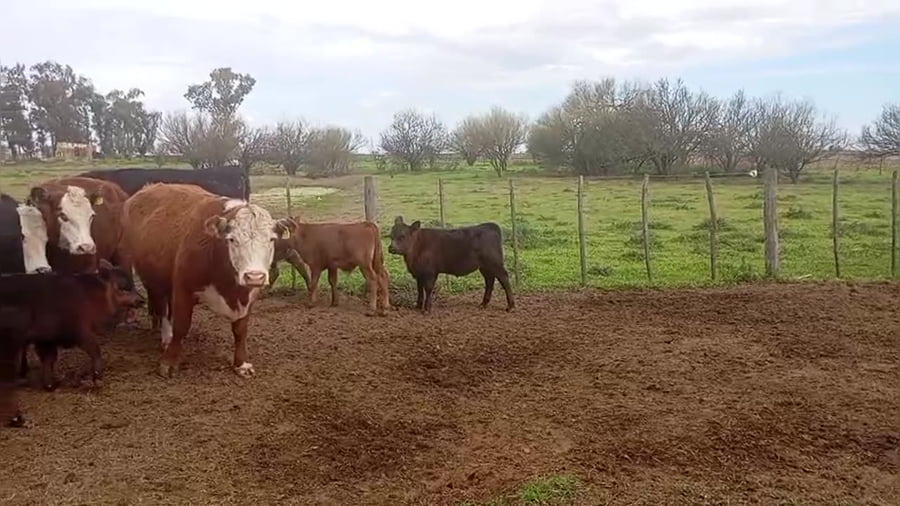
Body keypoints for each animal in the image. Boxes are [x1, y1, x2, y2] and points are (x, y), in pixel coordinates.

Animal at [0, 260, 145, 396]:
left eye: (132, 285)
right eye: (123, 287)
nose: (142, 300)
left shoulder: (47, 340)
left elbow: (48, 359)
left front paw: (49, 384)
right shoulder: (78, 331)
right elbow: (95, 350)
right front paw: (97, 378)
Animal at [121, 183, 278, 378]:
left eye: (271, 239)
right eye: (232, 239)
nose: (255, 276)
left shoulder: (248, 296)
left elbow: (240, 330)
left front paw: (241, 364)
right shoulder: (184, 287)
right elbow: (181, 325)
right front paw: (168, 362)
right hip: (153, 279)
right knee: (162, 307)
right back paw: (166, 337)